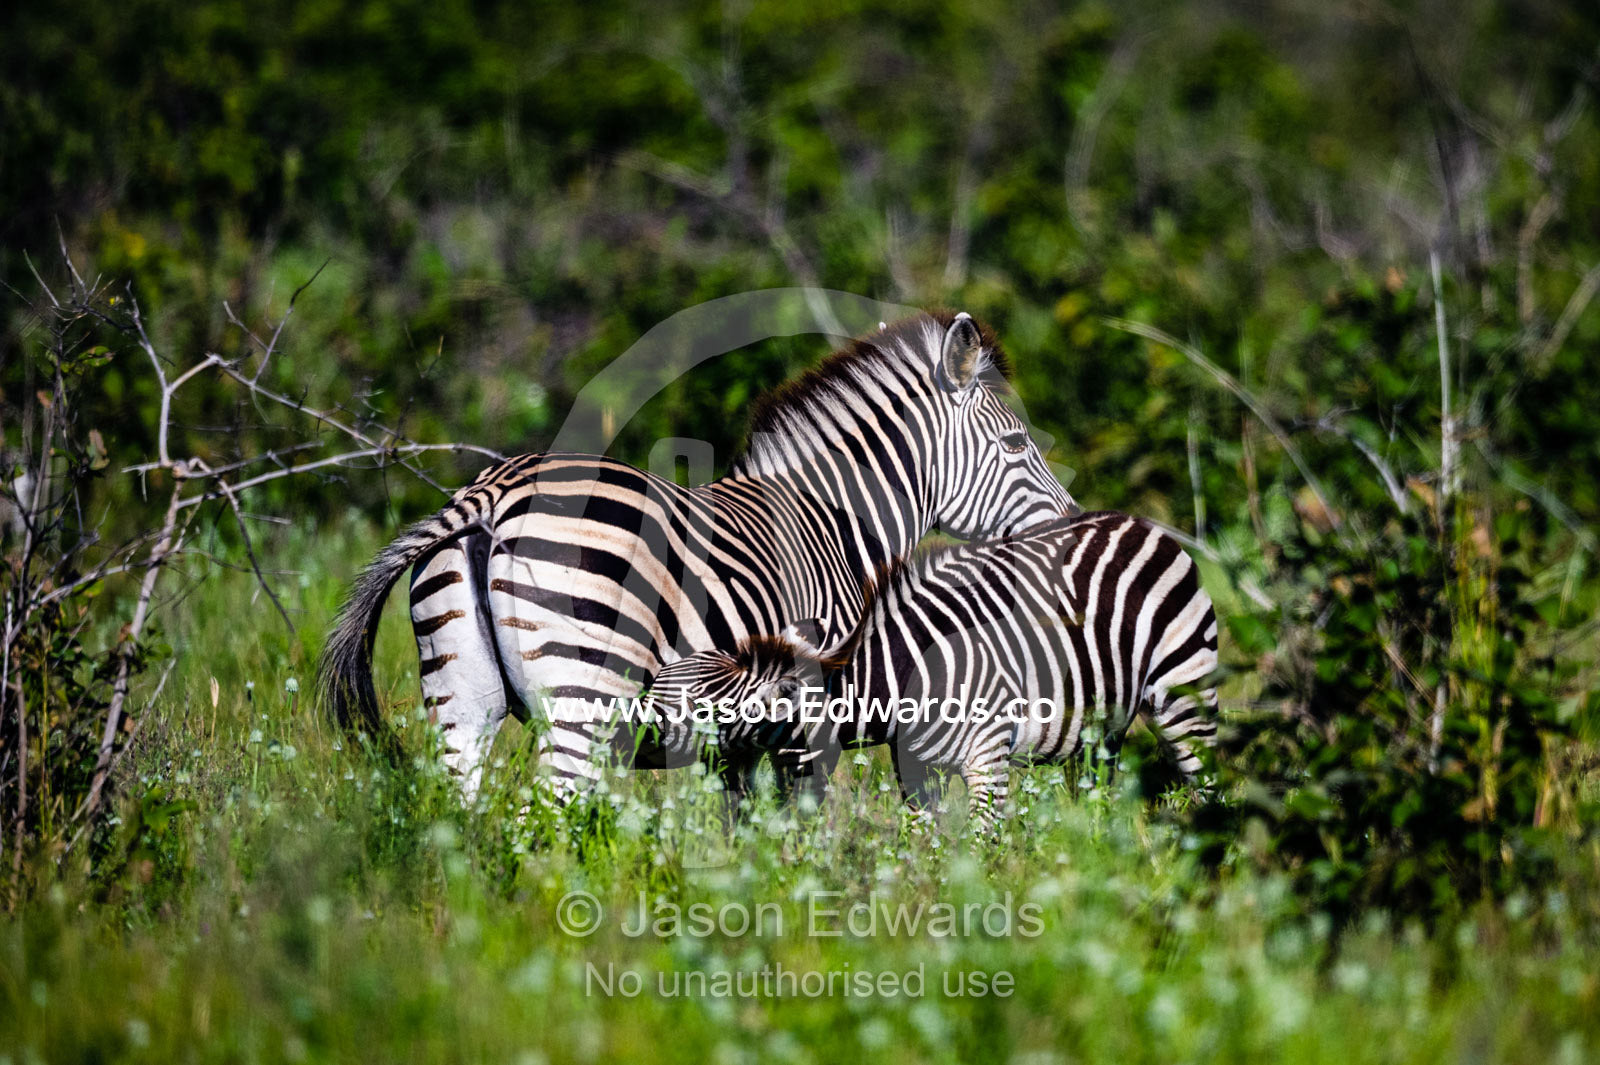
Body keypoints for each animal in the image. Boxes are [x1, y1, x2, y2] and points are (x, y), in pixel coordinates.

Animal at [318, 310, 1079, 802]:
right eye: (1018, 445)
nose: (1071, 527)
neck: (832, 522)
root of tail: (491, 491)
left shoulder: (740, 738)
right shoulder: (809, 711)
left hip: (459, 693)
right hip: (584, 692)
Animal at [646, 511, 1220, 832]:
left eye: (707, 700)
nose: (638, 735)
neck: (909, 676)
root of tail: (1140, 525)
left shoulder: (989, 759)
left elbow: (984, 849)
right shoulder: (915, 770)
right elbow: (926, 848)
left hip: (1184, 694)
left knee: (1207, 785)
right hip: (1104, 728)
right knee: (1099, 796)